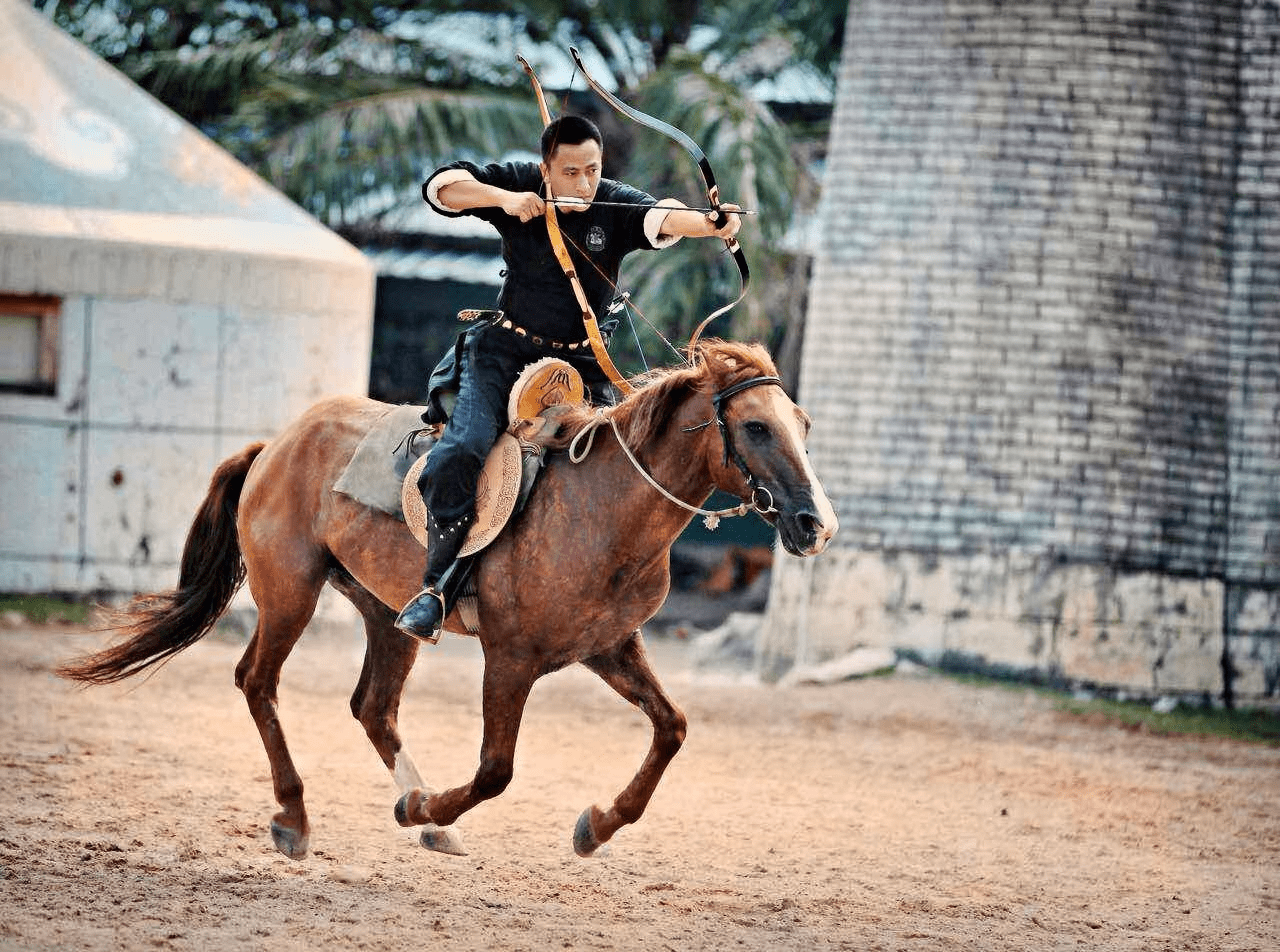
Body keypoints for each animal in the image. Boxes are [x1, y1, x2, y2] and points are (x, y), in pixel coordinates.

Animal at [57, 337, 839, 859]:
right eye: (757, 426)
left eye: (802, 425)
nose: (815, 525)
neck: (600, 509)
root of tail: (277, 444)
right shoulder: (511, 658)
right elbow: (496, 771)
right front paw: (436, 807)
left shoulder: (609, 647)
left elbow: (671, 727)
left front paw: (596, 825)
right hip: (289, 591)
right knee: (258, 681)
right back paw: (297, 818)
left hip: (387, 614)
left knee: (373, 706)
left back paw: (422, 818)